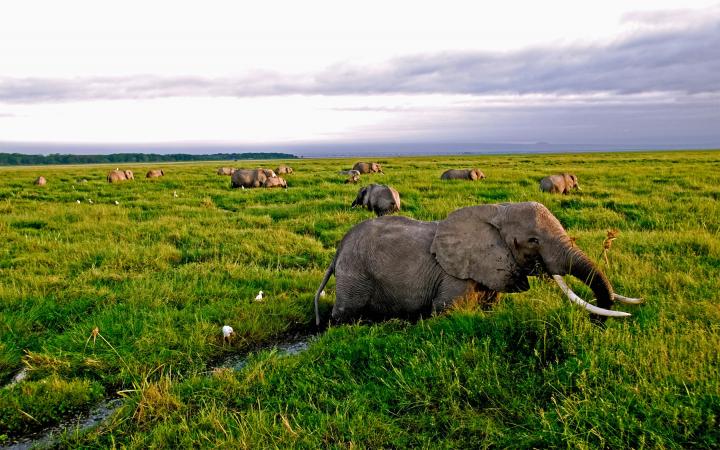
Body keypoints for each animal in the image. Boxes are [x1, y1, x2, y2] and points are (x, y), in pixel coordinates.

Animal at [312, 202, 640, 326]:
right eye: (533, 241)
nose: (596, 323)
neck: (496, 212)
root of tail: (338, 251)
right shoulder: (453, 277)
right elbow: (445, 312)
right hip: (355, 275)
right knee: (345, 313)